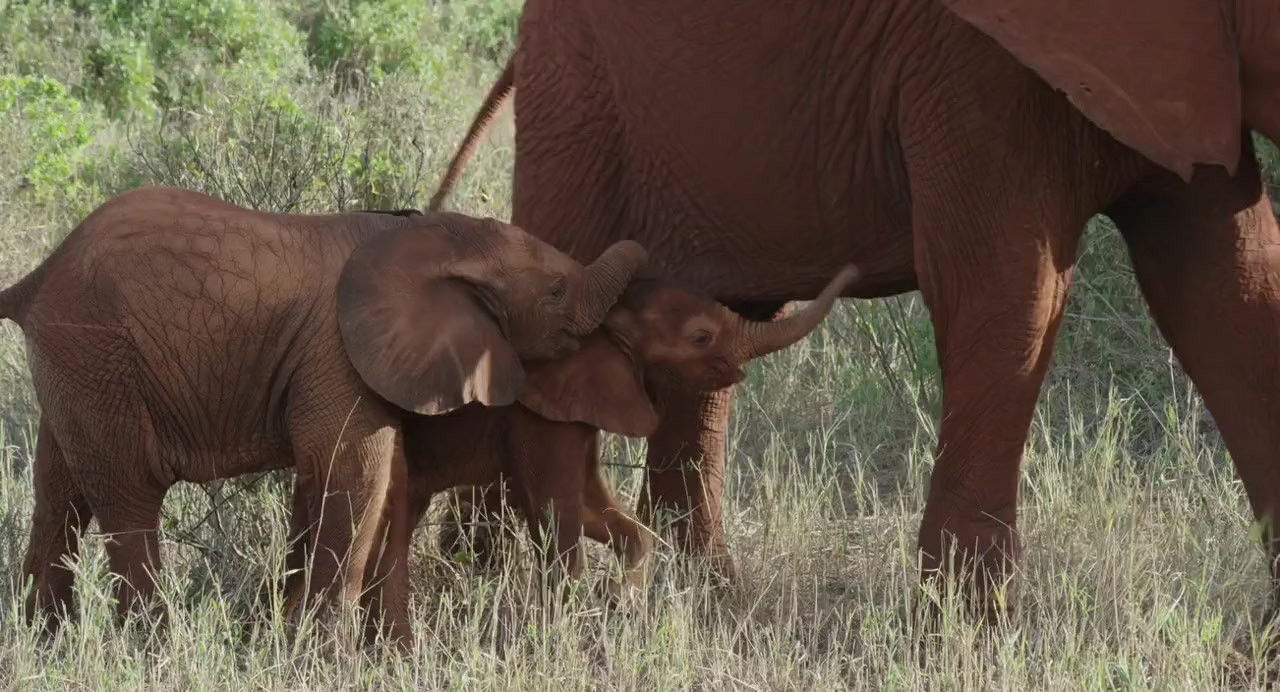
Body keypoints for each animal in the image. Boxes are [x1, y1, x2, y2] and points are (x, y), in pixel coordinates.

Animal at [0, 185, 648, 634]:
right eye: (556, 294)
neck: (436, 235)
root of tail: (34, 280)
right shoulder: (339, 353)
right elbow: (354, 473)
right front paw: (326, 655)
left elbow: (339, 482)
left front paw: (286, 636)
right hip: (96, 350)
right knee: (128, 494)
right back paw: (152, 645)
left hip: (77, 367)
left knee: (59, 492)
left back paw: (47, 640)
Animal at [282, 265, 859, 645]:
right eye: (701, 336)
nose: (851, 270)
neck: (602, 321)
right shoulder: (538, 416)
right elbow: (557, 515)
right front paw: (570, 626)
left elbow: (598, 513)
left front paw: (618, 602)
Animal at [427, 0, 1280, 618]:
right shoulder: (974, 67)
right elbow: (1009, 292)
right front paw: (967, 632)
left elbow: (1230, 286)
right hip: (584, 97)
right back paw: (481, 593)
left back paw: (703, 601)